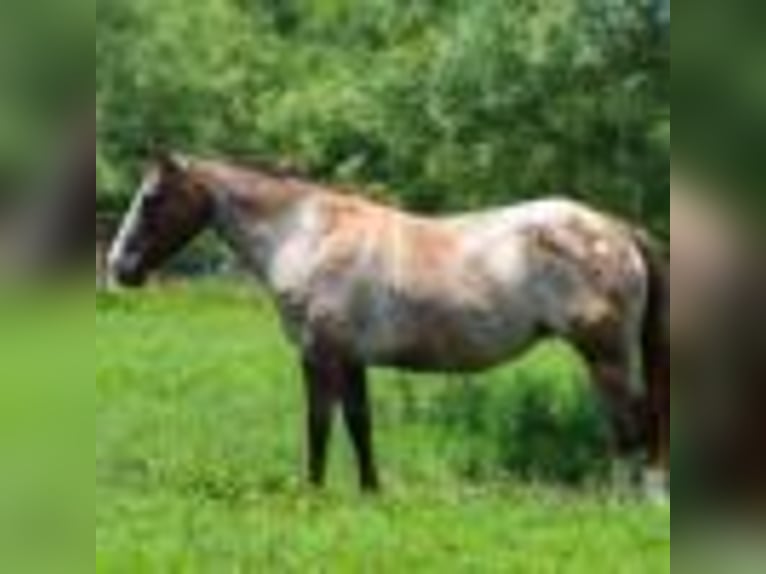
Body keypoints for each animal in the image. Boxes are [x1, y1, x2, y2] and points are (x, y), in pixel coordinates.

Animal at [108, 153, 670, 494]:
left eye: (151, 199)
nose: (119, 267)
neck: (308, 235)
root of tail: (618, 229)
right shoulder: (351, 358)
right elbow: (360, 424)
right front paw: (370, 492)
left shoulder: (318, 354)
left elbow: (318, 423)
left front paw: (312, 493)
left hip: (605, 356)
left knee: (635, 423)